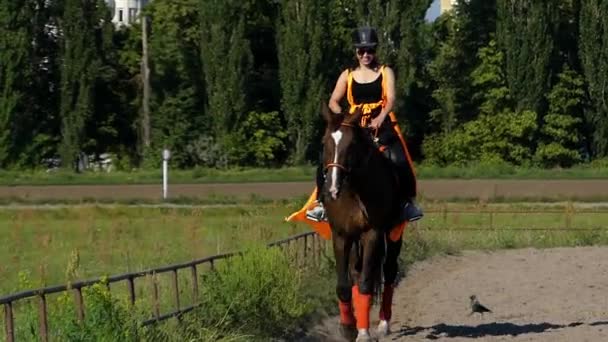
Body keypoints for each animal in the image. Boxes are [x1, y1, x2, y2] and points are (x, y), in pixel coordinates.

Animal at [324, 103, 404, 340]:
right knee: (356, 274)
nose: (332, 188)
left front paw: (363, 332)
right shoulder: (341, 235)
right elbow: (344, 285)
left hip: (394, 232)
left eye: (351, 146)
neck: (353, 190)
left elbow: (367, 284)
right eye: (325, 143)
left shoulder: (373, 234)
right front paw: (348, 327)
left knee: (389, 271)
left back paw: (384, 323)